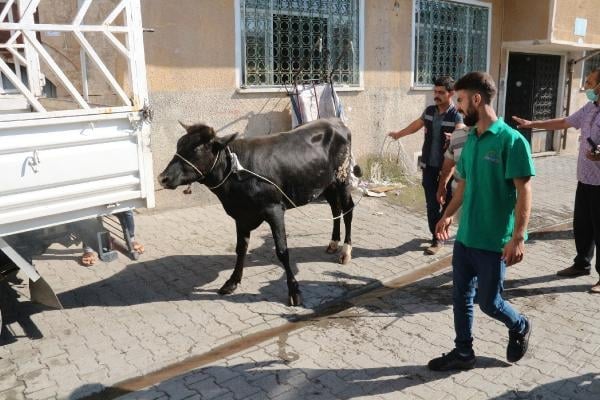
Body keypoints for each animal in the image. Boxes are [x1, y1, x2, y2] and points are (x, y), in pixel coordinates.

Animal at [157, 117, 360, 304]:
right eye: (179, 145)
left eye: (197, 149)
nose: (162, 178)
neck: (236, 172)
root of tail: (335, 121)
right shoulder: (241, 215)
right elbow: (240, 249)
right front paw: (232, 282)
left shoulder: (274, 209)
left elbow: (282, 251)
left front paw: (294, 291)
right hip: (326, 183)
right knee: (335, 209)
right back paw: (333, 243)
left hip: (342, 177)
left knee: (348, 209)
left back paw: (345, 251)